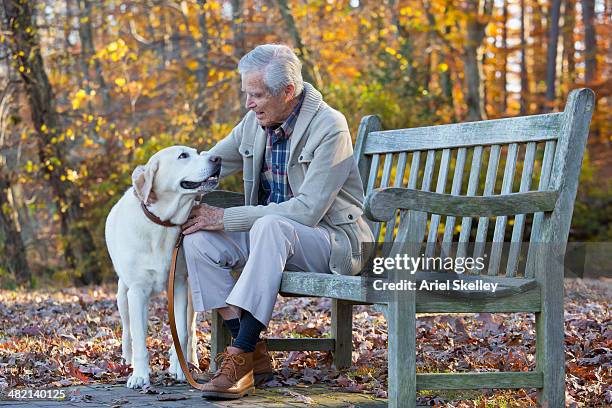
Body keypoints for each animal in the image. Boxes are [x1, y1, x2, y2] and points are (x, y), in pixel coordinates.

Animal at [104, 147, 220, 388]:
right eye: (183, 155)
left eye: (197, 152)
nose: (217, 158)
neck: (162, 224)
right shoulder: (137, 292)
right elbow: (139, 337)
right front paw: (140, 375)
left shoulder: (179, 285)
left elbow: (182, 333)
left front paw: (179, 368)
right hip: (122, 295)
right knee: (127, 330)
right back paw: (127, 360)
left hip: (192, 296)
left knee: (190, 330)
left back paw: (190, 361)